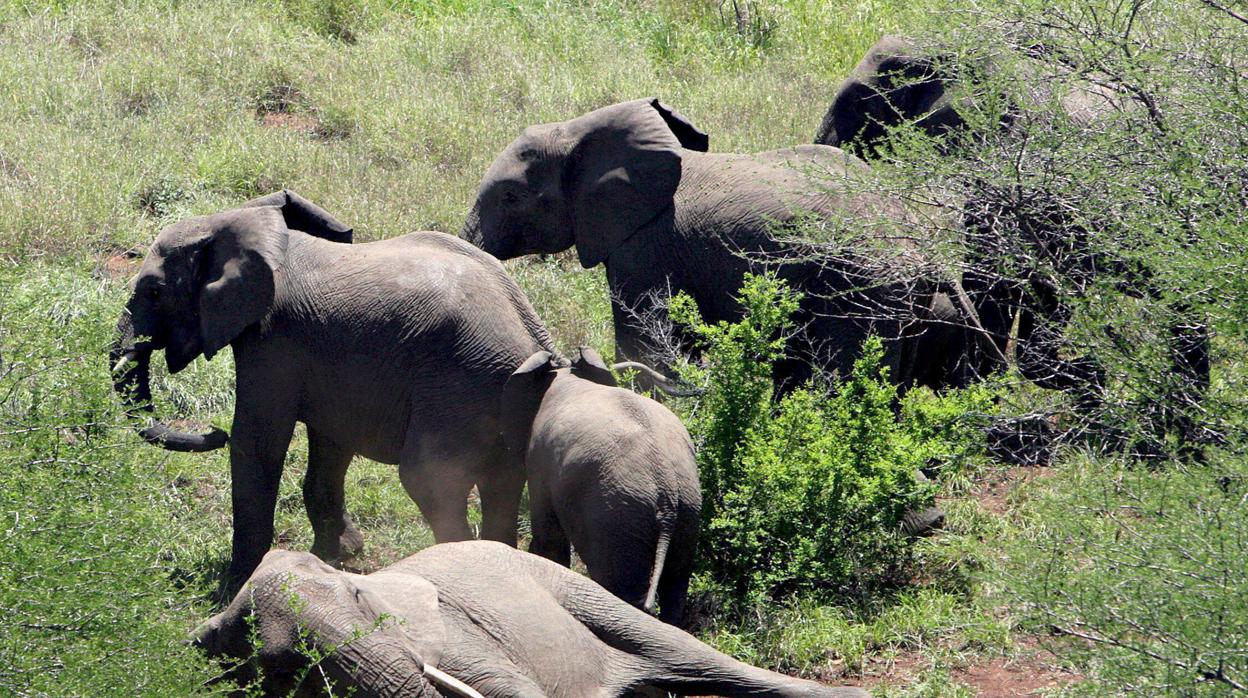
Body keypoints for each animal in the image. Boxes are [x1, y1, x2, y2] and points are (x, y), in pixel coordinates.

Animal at [107, 189, 556, 589]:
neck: (243, 222)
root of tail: (537, 345)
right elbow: (331, 442)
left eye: (154, 291)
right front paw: (334, 556)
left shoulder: (273, 341)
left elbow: (258, 441)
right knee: (502, 483)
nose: (211, 432)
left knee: (430, 480)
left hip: (459, 391)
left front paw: (237, 583)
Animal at [461, 98, 983, 397]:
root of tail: (926, 253)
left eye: (510, 197)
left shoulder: (644, 243)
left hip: (860, 291)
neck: (577, 131)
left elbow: (644, 338)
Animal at [501, 347, 708, 624]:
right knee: (675, 587)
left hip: (618, 516)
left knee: (623, 589)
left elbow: (549, 536)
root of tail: (667, 490)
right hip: (687, 510)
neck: (567, 376)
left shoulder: (539, 462)